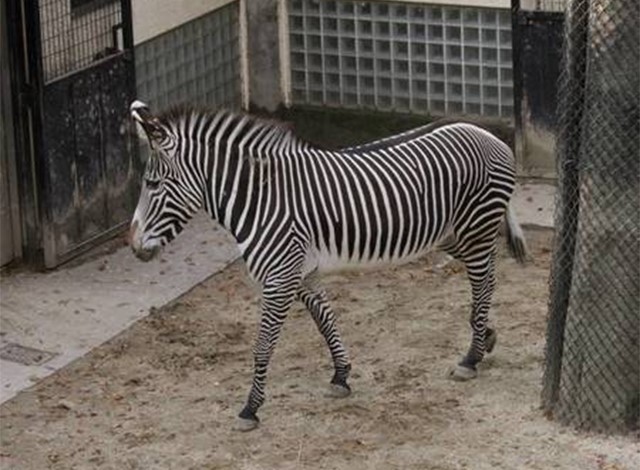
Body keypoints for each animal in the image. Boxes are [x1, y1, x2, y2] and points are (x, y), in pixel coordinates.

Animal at [129, 101, 524, 432]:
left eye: (152, 184)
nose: (132, 247)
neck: (260, 198)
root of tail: (485, 133)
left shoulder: (280, 277)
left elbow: (263, 346)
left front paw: (250, 409)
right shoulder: (302, 274)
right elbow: (324, 320)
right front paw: (341, 375)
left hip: (474, 225)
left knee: (483, 281)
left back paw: (471, 357)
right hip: (450, 234)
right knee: (487, 275)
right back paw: (484, 335)